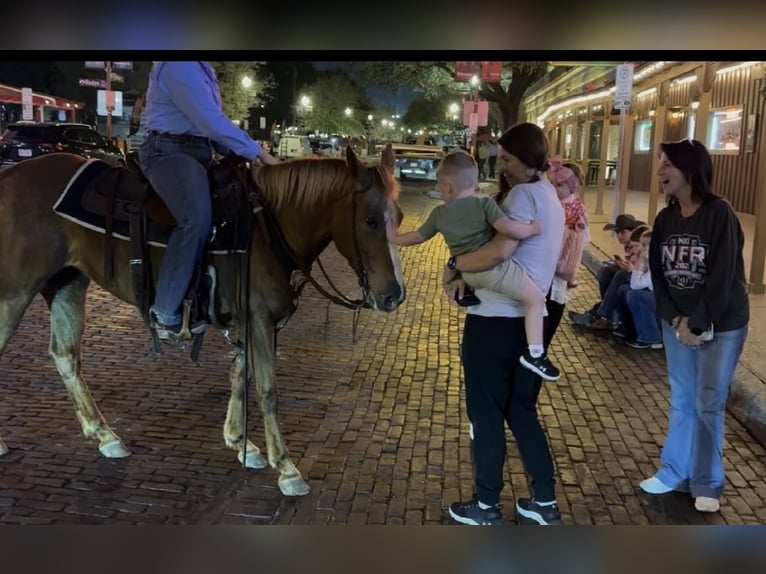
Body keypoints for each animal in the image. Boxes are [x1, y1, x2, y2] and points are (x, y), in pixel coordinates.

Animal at [0, 143, 408, 496]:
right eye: (370, 220)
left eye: (399, 217)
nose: (394, 295)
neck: (268, 227)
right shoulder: (260, 320)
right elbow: (267, 389)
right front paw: (286, 468)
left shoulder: (252, 322)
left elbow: (240, 375)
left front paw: (240, 443)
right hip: (15, 292)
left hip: (66, 283)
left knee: (66, 357)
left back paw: (105, 436)